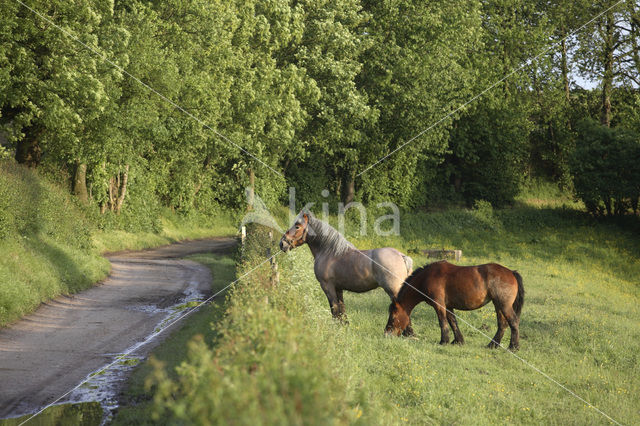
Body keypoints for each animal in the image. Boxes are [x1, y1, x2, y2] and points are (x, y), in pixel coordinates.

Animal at [384, 260, 524, 350]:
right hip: (498, 305)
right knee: (502, 325)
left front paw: (444, 341)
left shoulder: (439, 305)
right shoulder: (448, 306)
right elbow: (453, 322)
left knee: (513, 322)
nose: (386, 334)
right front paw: (458, 341)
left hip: (503, 305)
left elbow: (443, 322)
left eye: (393, 317)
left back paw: (513, 347)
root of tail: (511, 272)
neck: (427, 277)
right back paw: (492, 345)